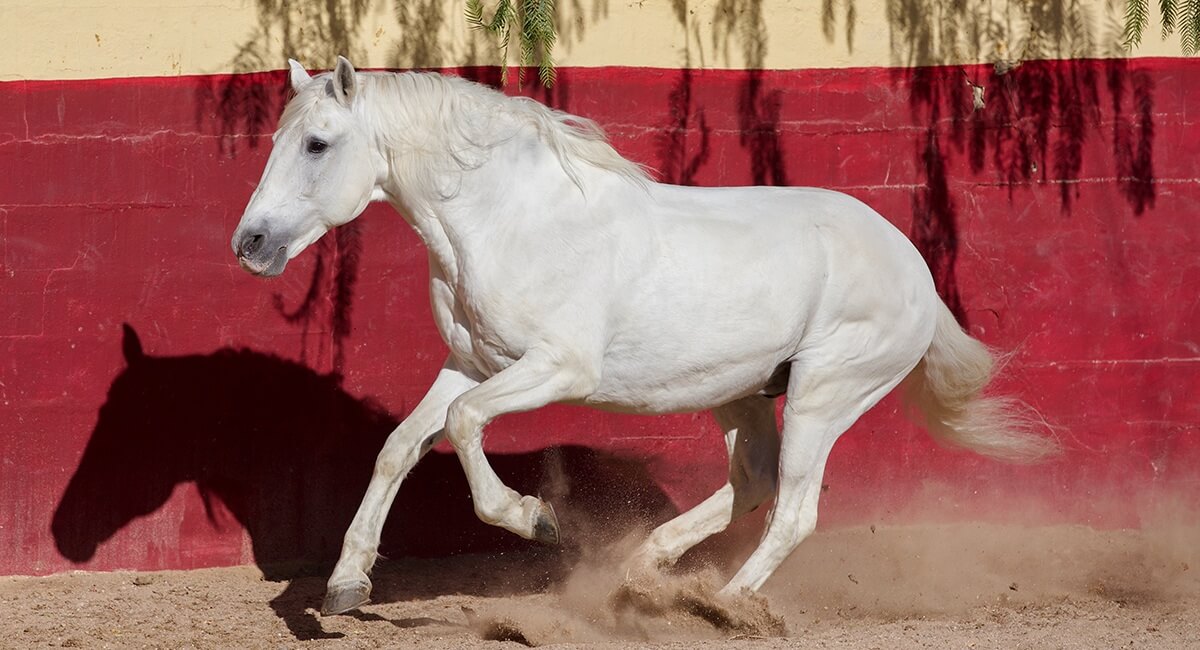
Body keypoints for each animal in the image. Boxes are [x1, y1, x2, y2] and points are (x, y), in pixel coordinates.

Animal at [231, 57, 1057, 616]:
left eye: (316, 145)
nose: (250, 243)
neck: (509, 219)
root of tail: (916, 269)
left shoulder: (556, 368)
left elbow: (464, 429)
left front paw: (536, 519)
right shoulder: (468, 363)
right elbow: (400, 446)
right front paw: (345, 584)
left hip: (825, 395)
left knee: (794, 510)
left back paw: (722, 604)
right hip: (745, 393)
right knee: (752, 481)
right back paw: (642, 570)